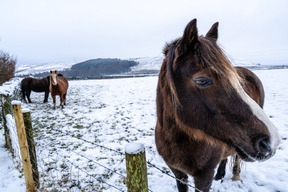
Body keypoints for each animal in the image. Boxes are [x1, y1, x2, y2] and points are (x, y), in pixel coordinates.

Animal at [154, 19, 280, 192]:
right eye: (202, 81)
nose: (271, 141)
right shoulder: (178, 173)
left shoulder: (204, 177)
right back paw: (220, 174)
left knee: (236, 157)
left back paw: (234, 175)